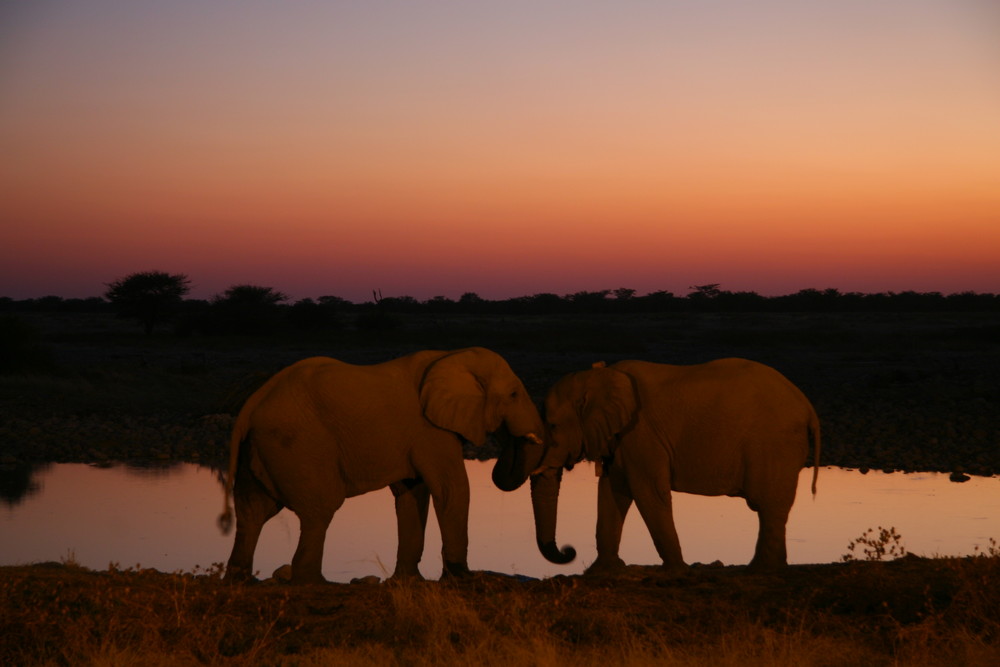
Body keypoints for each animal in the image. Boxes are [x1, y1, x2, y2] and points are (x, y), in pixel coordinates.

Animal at [219, 348, 548, 580]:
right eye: (514, 394)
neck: (451, 356)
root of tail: (251, 403)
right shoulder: (428, 430)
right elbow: (451, 488)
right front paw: (462, 577)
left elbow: (412, 493)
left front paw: (408, 579)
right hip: (298, 444)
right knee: (319, 510)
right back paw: (312, 581)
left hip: (263, 447)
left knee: (254, 511)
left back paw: (240, 579)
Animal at [516, 360, 820, 576]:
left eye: (553, 426)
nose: (569, 550)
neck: (601, 377)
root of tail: (808, 407)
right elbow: (611, 494)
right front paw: (602, 571)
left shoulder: (641, 436)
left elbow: (648, 493)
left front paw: (677, 571)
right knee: (774, 509)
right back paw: (771, 569)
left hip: (774, 445)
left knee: (768, 506)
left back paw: (759, 570)